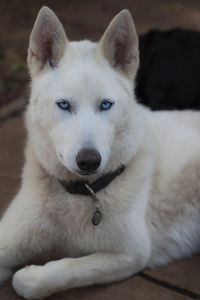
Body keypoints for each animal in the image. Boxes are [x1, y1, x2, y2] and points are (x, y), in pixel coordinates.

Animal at [0, 5, 200, 298]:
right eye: (63, 105)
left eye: (106, 105)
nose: (88, 161)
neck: (79, 194)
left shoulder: (131, 253)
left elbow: (68, 269)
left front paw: (30, 275)